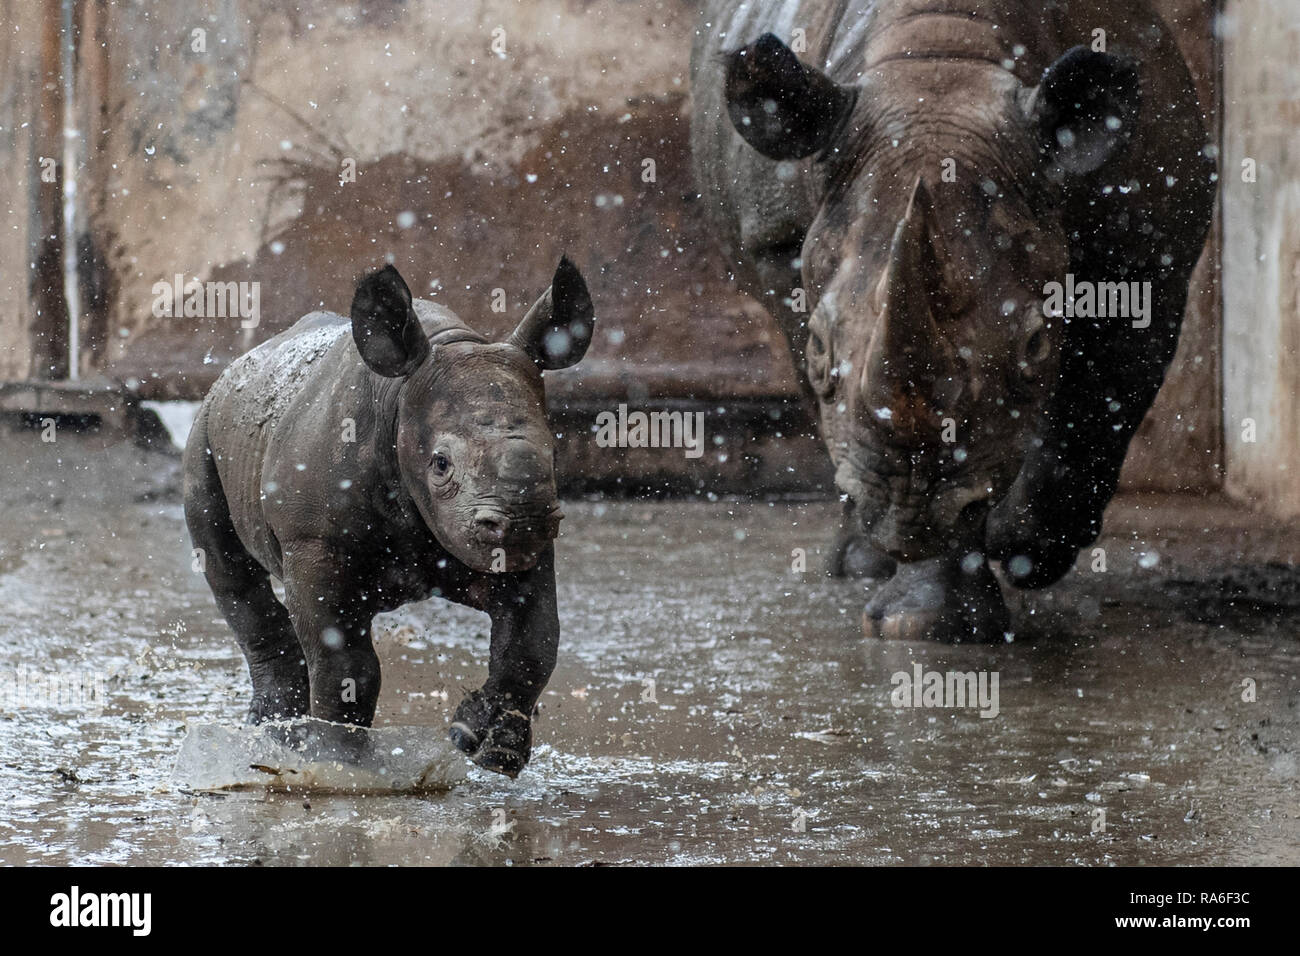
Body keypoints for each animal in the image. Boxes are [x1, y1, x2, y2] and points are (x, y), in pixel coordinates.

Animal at [182, 256, 595, 780]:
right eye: (440, 464)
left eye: (556, 454)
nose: (522, 523)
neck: (399, 398)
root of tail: (235, 368)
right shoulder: (313, 542)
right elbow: (345, 662)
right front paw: (338, 761)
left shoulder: (521, 550)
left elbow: (532, 644)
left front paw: (485, 746)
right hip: (204, 432)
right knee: (225, 566)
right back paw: (272, 730)